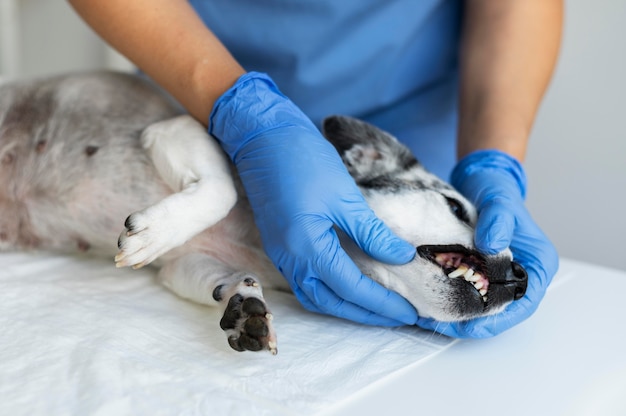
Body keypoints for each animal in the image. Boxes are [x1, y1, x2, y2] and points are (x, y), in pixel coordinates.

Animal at [0, 70, 528, 354]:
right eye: (455, 206)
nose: (522, 277)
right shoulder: (178, 132)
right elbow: (221, 194)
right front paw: (155, 232)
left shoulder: (184, 267)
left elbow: (222, 280)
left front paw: (243, 307)